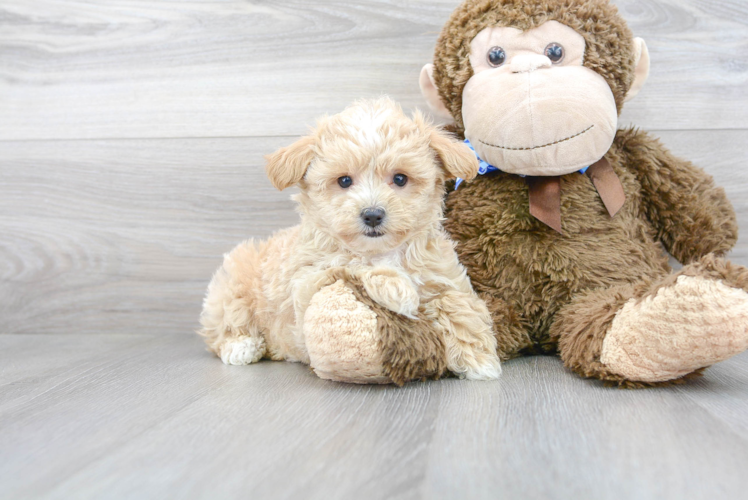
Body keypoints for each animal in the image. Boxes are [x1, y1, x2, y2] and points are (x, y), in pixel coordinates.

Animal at [199, 97, 502, 382]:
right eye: (344, 181)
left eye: (400, 179)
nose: (372, 214)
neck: (381, 251)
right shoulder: (305, 283)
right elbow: (352, 264)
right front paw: (397, 289)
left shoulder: (445, 278)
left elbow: (457, 303)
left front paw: (479, 360)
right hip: (233, 280)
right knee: (225, 322)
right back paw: (241, 346)